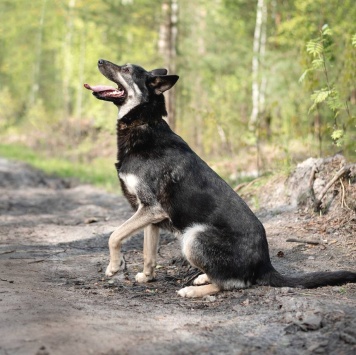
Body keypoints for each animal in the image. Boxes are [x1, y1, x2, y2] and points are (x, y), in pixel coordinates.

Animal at [84, 59, 356, 298]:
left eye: (126, 70)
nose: (99, 60)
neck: (144, 123)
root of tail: (264, 264)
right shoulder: (151, 217)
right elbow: (148, 252)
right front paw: (147, 276)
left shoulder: (150, 208)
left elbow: (114, 235)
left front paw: (114, 266)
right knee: (226, 277)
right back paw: (202, 276)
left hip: (193, 237)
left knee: (232, 284)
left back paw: (194, 289)